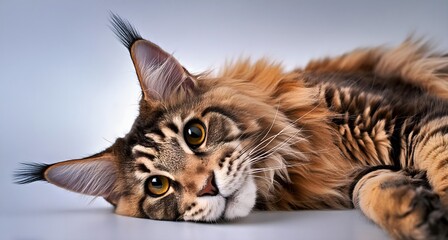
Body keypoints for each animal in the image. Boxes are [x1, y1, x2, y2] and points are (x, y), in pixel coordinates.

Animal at [14, 13, 448, 240]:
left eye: (195, 133)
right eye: (157, 185)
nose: (208, 186)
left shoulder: (407, 112)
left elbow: (439, 158)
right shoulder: (357, 171)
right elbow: (369, 187)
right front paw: (414, 212)